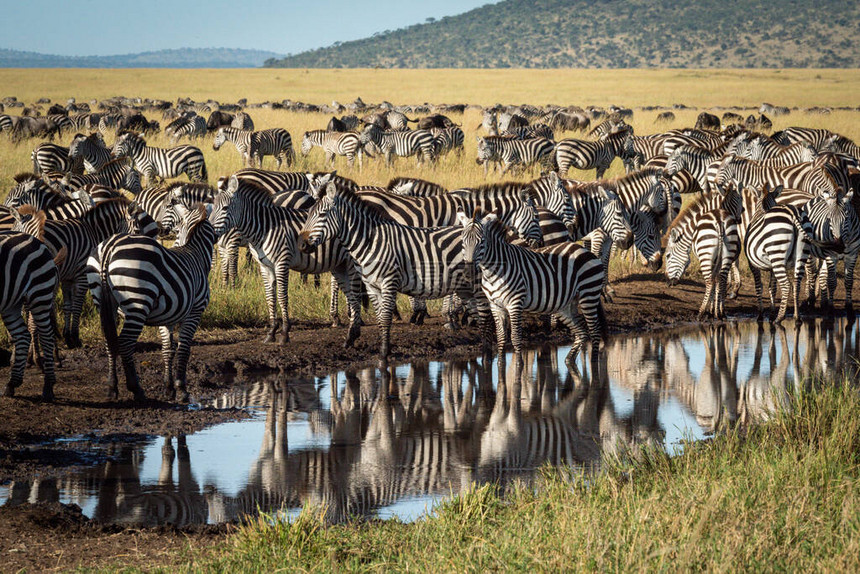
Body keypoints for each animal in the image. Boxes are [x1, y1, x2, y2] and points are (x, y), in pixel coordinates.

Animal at [0, 232, 63, 402]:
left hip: (39, 294)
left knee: (46, 336)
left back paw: (48, 387)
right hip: (11, 303)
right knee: (23, 335)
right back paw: (12, 384)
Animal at [88, 202, 217, 404]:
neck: (195, 252)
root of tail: (110, 246)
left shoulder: (168, 315)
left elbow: (167, 350)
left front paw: (168, 388)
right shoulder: (195, 311)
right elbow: (184, 349)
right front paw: (181, 389)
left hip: (102, 301)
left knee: (110, 341)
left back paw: (111, 388)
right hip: (137, 303)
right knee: (125, 343)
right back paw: (136, 390)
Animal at [212, 177, 366, 346]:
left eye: (225, 208)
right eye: (212, 207)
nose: (209, 231)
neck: (264, 228)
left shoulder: (282, 262)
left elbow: (281, 296)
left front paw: (285, 332)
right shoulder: (265, 266)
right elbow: (270, 297)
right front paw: (271, 332)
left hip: (352, 264)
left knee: (355, 295)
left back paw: (353, 329)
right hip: (340, 265)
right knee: (350, 294)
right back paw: (351, 329)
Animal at [298, 183, 494, 364]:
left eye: (322, 215)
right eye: (308, 214)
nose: (302, 245)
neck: (370, 242)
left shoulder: (389, 282)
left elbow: (385, 318)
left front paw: (384, 353)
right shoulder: (371, 286)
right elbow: (379, 317)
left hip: (477, 287)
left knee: (486, 316)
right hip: (464, 288)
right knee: (480, 316)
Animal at [460, 212, 608, 364]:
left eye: (481, 241)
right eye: (463, 241)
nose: (469, 272)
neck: (491, 272)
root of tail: (584, 250)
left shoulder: (515, 303)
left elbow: (515, 337)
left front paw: (519, 363)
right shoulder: (496, 305)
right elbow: (501, 338)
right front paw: (501, 363)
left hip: (588, 294)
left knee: (594, 331)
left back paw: (594, 362)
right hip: (565, 305)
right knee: (582, 332)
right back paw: (569, 359)